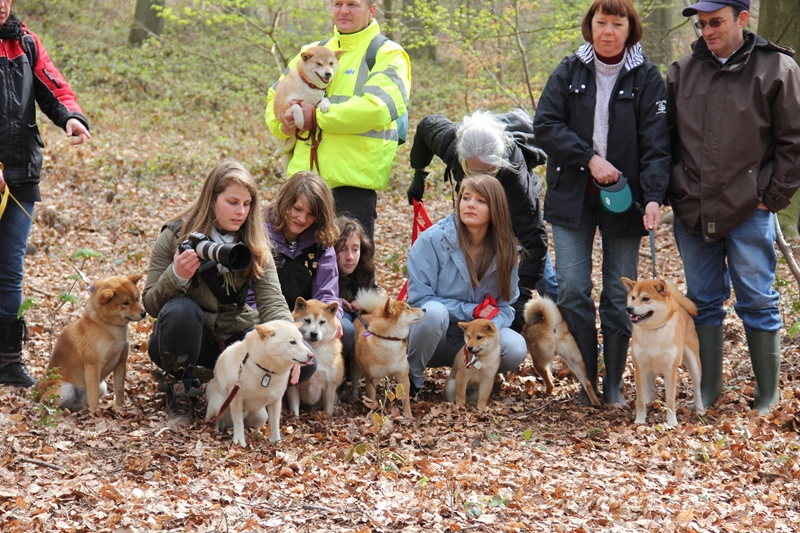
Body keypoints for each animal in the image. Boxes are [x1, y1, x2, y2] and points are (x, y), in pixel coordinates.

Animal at [38, 274, 147, 416]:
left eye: (137, 299)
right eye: (125, 303)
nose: (144, 313)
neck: (107, 326)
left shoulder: (120, 363)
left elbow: (119, 391)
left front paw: (121, 408)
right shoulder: (93, 366)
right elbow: (94, 398)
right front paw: (96, 414)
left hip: (102, 386)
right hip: (64, 388)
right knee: (49, 405)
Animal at [350, 288, 424, 418]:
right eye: (407, 308)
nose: (424, 309)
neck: (389, 339)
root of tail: (363, 314)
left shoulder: (403, 376)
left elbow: (406, 400)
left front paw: (408, 416)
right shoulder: (371, 381)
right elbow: (371, 400)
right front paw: (373, 415)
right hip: (356, 368)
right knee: (354, 383)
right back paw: (354, 398)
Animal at [620, 276, 704, 426]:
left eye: (646, 299)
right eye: (633, 297)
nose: (629, 308)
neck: (654, 329)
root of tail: (682, 308)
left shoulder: (670, 370)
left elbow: (670, 401)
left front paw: (672, 422)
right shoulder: (640, 368)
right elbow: (640, 399)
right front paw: (640, 419)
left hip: (694, 364)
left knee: (697, 390)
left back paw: (700, 410)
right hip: (648, 369)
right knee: (650, 389)